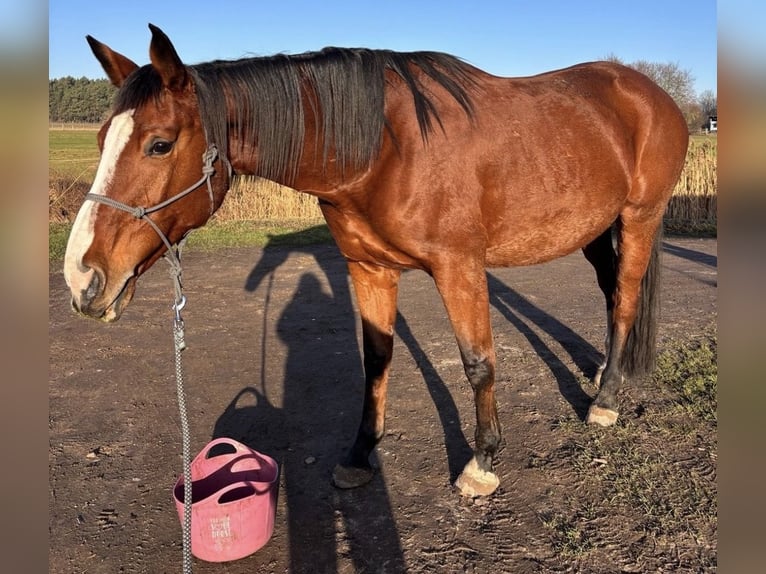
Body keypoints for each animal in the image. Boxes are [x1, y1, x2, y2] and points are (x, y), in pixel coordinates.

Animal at [63, 24, 688, 497]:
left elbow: (478, 363)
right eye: (100, 139)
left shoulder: (459, 268)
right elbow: (377, 359)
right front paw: (361, 454)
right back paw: (606, 371)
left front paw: (482, 463)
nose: (83, 279)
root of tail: (650, 94)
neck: (385, 149)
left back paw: (605, 402)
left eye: (160, 144)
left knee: (626, 298)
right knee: (611, 293)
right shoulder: (368, 269)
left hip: (639, 218)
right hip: (594, 227)